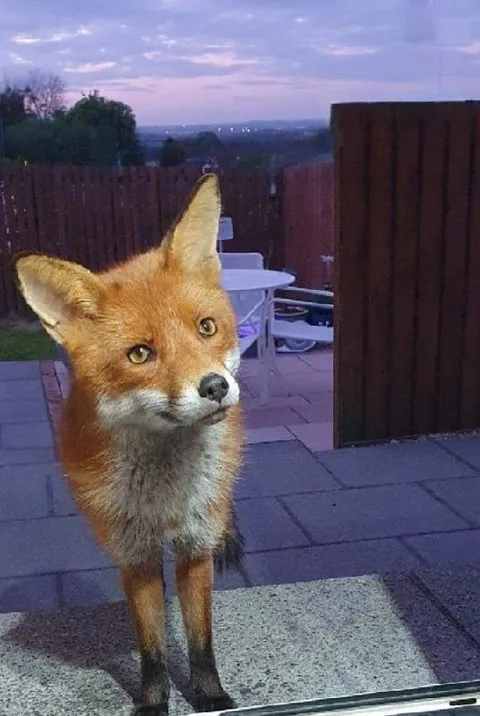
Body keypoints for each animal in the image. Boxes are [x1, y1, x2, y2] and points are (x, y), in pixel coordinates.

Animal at [14, 174, 246, 716]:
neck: (165, 498)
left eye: (206, 327)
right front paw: (155, 703)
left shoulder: (194, 545)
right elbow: (152, 648)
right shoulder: (134, 554)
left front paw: (210, 697)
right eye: (140, 354)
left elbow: (200, 641)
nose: (215, 387)